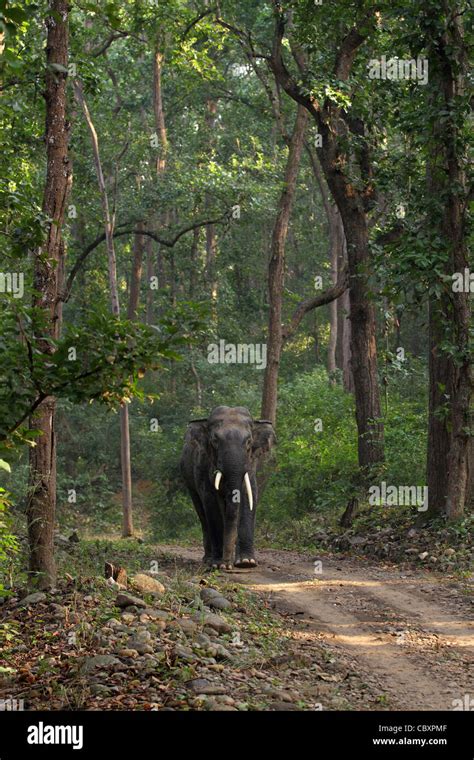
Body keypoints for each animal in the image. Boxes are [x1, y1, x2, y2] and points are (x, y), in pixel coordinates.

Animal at [181, 406, 278, 568]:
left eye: (249, 442)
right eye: (214, 440)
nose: (226, 565)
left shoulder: (250, 464)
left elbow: (248, 496)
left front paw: (246, 562)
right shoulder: (203, 465)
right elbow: (211, 501)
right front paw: (217, 564)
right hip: (189, 480)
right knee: (202, 512)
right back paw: (208, 559)